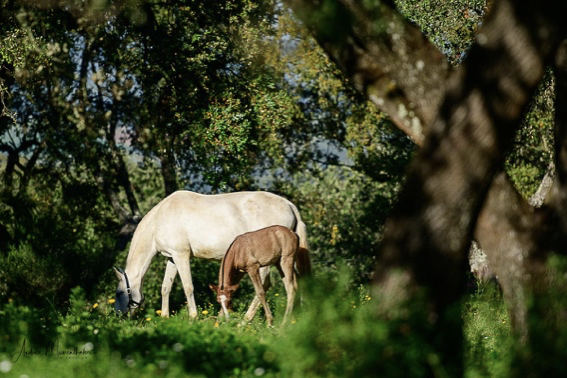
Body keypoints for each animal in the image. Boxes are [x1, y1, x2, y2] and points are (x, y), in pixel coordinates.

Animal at [112, 190, 308, 320]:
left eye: (119, 293)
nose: (119, 315)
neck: (160, 219)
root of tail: (288, 205)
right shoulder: (172, 258)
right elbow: (165, 287)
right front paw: (165, 318)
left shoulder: (181, 256)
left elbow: (188, 287)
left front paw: (193, 317)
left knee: (265, 284)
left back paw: (247, 319)